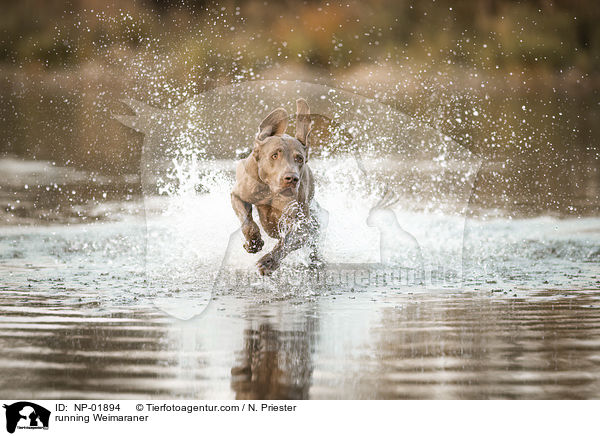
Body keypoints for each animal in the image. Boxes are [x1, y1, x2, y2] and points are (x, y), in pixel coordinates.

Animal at [232, 100, 322, 274]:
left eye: (299, 159)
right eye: (274, 155)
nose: (291, 178)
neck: (270, 191)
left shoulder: (302, 226)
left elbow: (286, 242)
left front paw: (268, 262)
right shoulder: (238, 195)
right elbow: (247, 222)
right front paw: (253, 242)